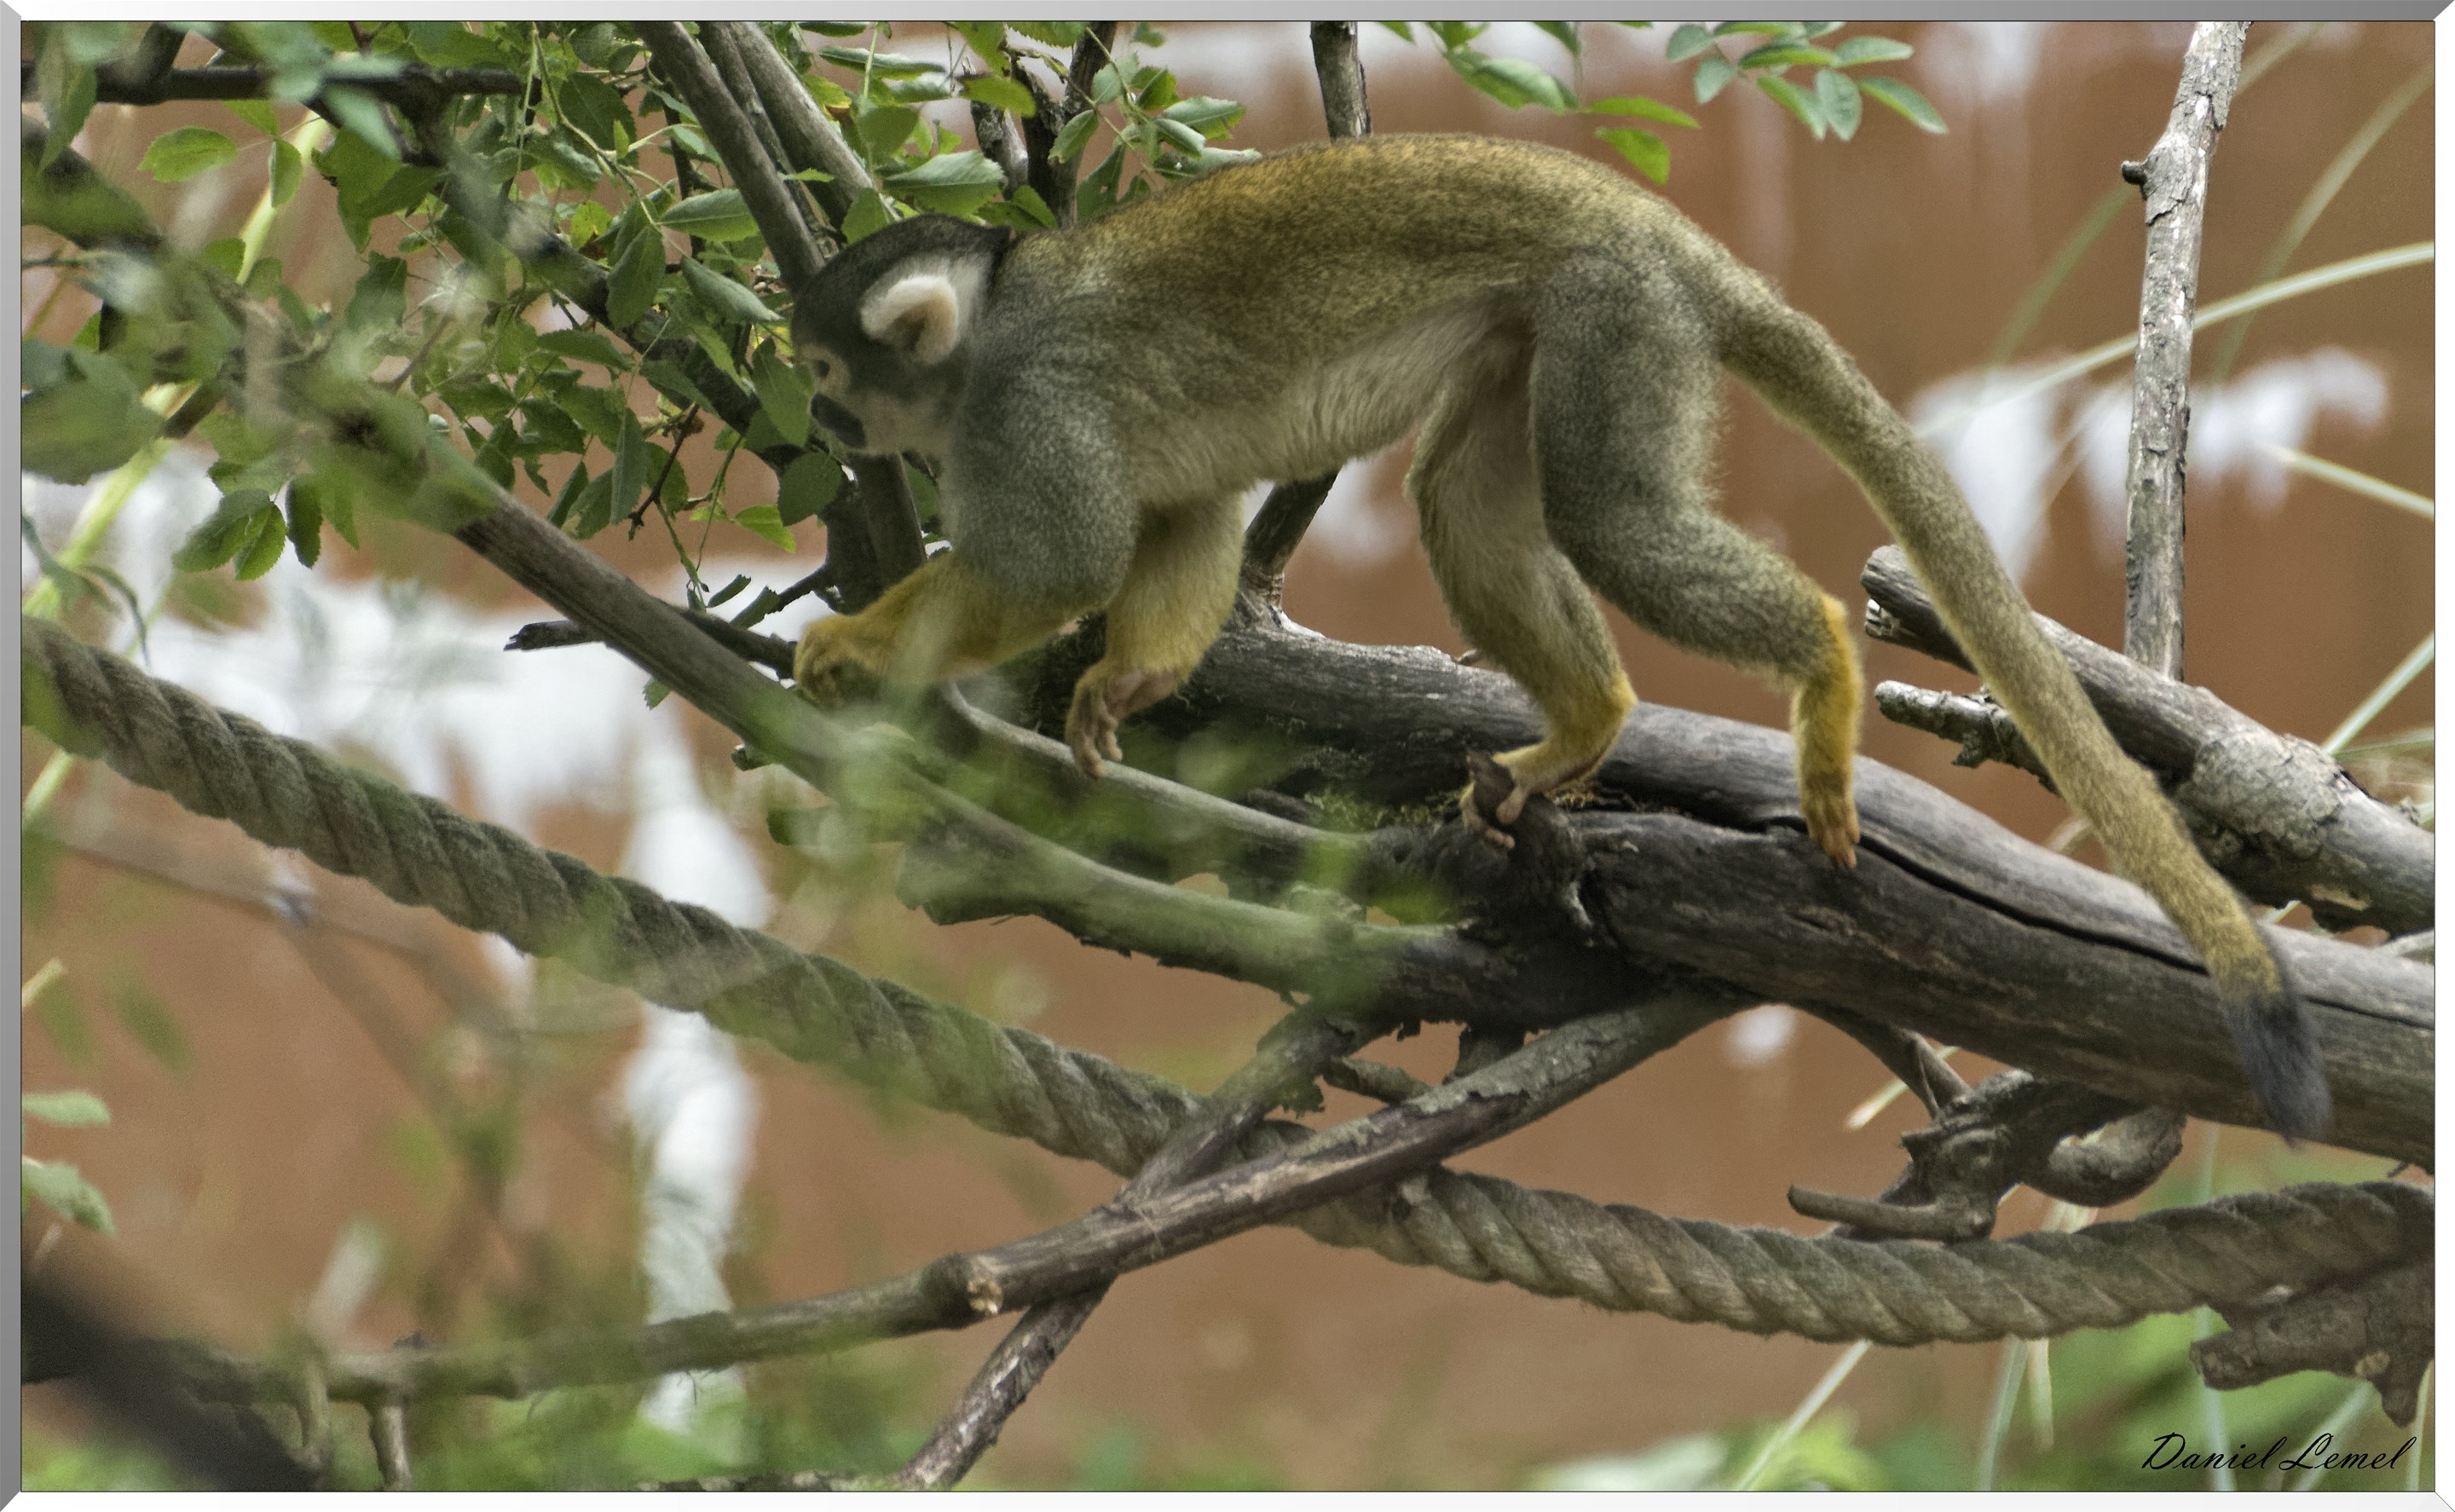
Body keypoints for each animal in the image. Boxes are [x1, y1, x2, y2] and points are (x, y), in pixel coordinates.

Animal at [785, 133, 2329, 1140]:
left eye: (823, 370)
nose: (819, 417)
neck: (988, 335)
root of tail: (1667, 232)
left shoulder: (1022, 408)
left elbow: (1056, 561)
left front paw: (856, 649)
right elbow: (1183, 521)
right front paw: (1128, 678)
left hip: (1614, 314)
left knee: (1607, 514)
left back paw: (1822, 662)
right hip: (1554, 323)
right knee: (1465, 494)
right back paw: (1588, 725)